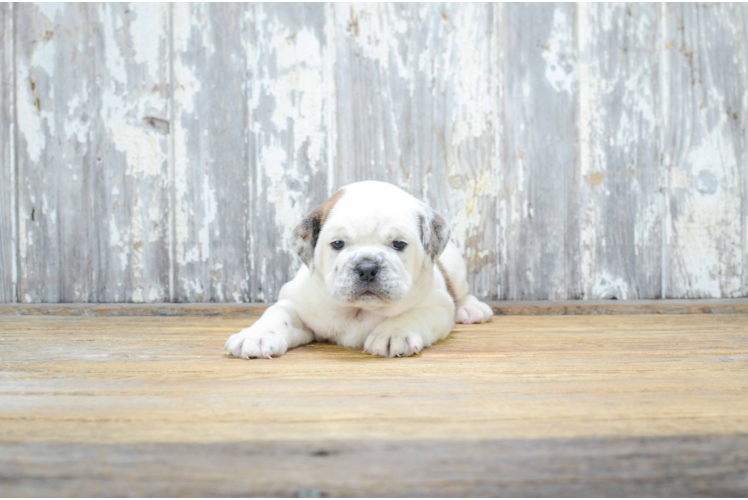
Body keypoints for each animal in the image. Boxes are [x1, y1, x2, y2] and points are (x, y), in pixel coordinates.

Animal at [225, 182, 494, 358]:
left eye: (398, 244)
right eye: (337, 244)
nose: (366, 268)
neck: (359, 310)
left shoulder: (437, 304)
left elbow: (413, 315)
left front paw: (393, 333)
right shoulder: (296, 303)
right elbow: (277, 314)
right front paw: (257, 336)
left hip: (456, 268)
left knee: (462, 293)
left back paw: (471, 309)